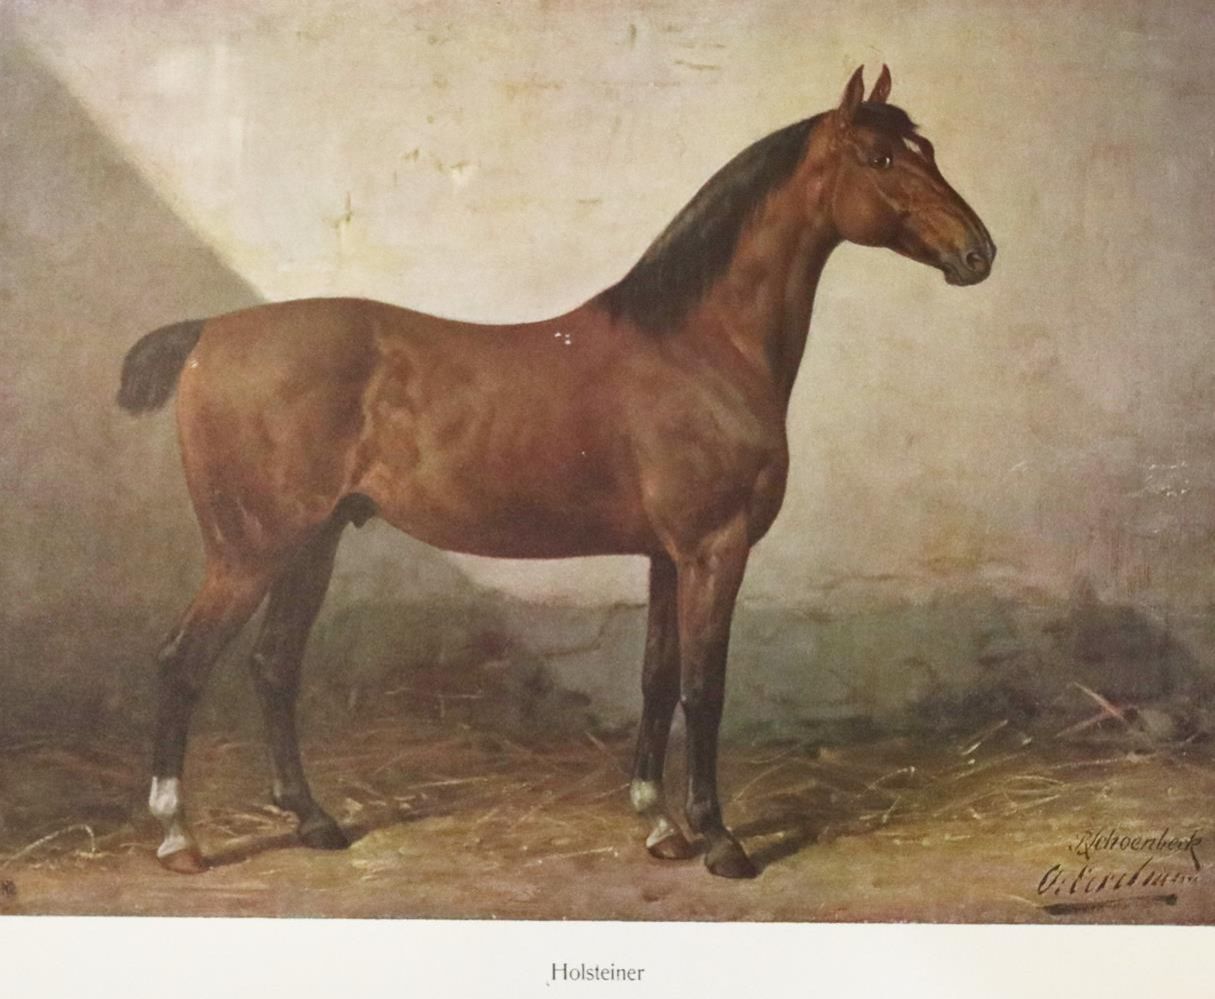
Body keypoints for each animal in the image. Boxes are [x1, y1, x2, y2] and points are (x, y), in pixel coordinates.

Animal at [117, 65, 994, 879]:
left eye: (927, 149)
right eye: (880, 157)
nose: (977, 252)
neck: (699, 346)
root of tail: (209, 332)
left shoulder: (666, 556)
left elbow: (655, 677)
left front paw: (659, 824)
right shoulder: (714, 548)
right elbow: (703, 688)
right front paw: (718, 839)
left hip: (313, 542)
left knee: (273, 666)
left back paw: (313, 820)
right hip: (250, 550)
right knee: (181, 661)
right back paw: (179, 836)